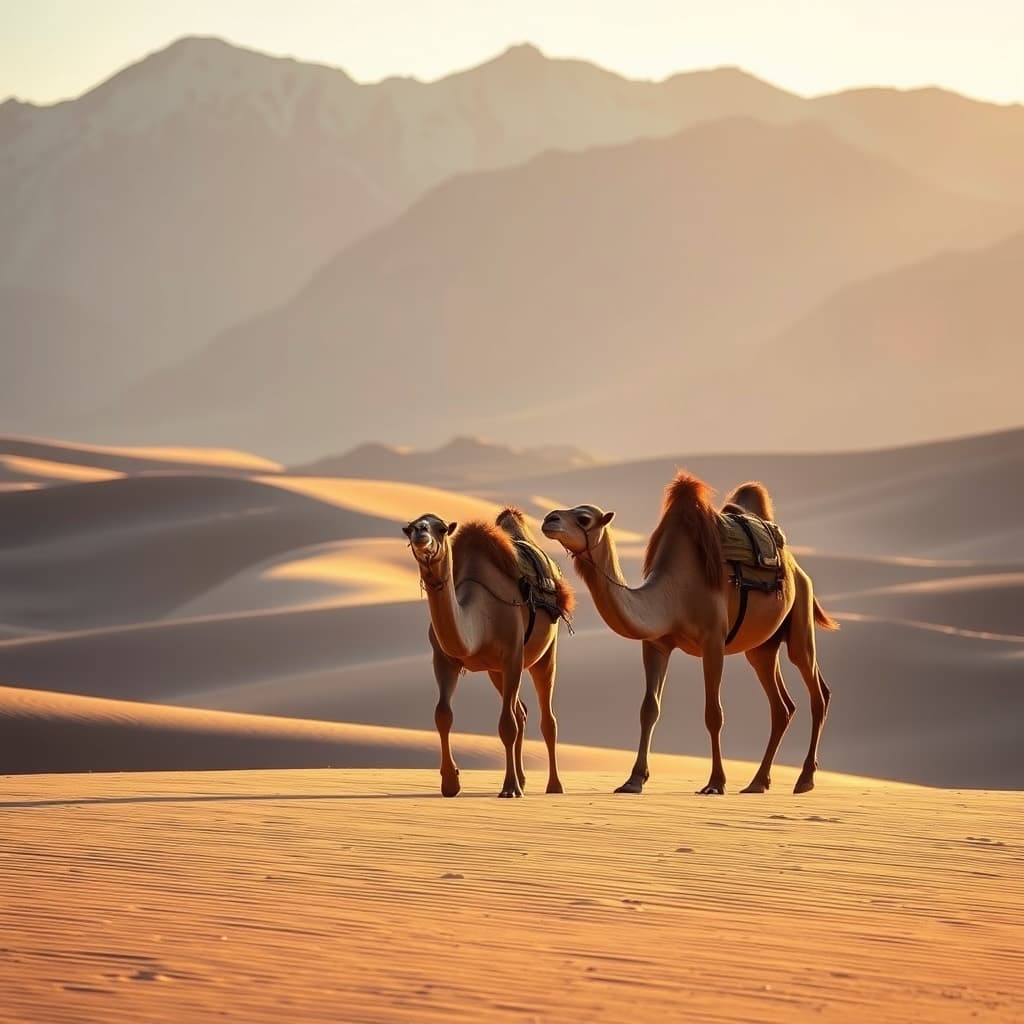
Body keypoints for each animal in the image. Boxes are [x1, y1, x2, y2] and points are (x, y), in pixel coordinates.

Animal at [403, 508, 574, 798]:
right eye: (411, 527)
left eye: (441, 529)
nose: (421, 534)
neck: (480, 616)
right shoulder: (444, 659)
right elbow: (442, 715)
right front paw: (450, 782)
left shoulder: (513, 656)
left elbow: (506, 725)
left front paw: (509, 788)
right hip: (495, 671)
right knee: (521, 712)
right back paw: (524, 779)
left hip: (545, 653)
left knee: (546, 719)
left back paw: (554, 785)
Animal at [541, 473, 837, 795]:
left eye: (584, 518)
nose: (549, 519)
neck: (673, 593)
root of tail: (796, 566)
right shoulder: (656, 643)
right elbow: (649, 709)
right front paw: (633, 780)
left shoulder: (713, 640)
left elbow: (713, 714)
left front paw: (716, 783)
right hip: (762, 648)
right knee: (781, 706)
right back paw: (758, 782)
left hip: (800, 619)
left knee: (817, 692)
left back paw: (804, 779)